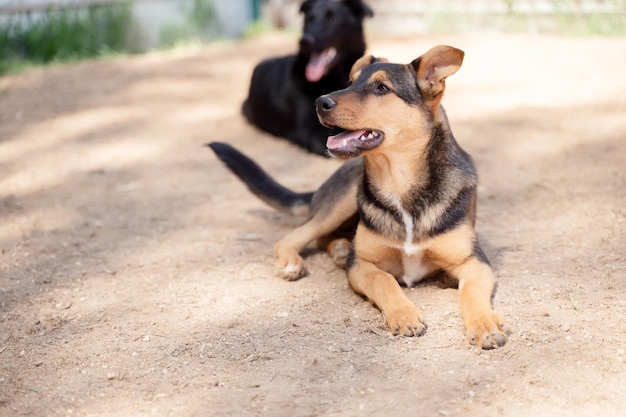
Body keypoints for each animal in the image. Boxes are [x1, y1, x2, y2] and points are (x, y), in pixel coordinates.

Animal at [208, 44, 508, 348]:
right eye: (351, 83)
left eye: (381, 87)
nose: (320, 103)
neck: (400, 184)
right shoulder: (361, 264)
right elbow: (384, 281)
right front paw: (403, 314)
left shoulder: (475, 262)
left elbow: (471, 291)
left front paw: (483, 323)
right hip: (343, 200)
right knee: (296, 236)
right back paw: (300, 259)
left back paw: (340, 249)